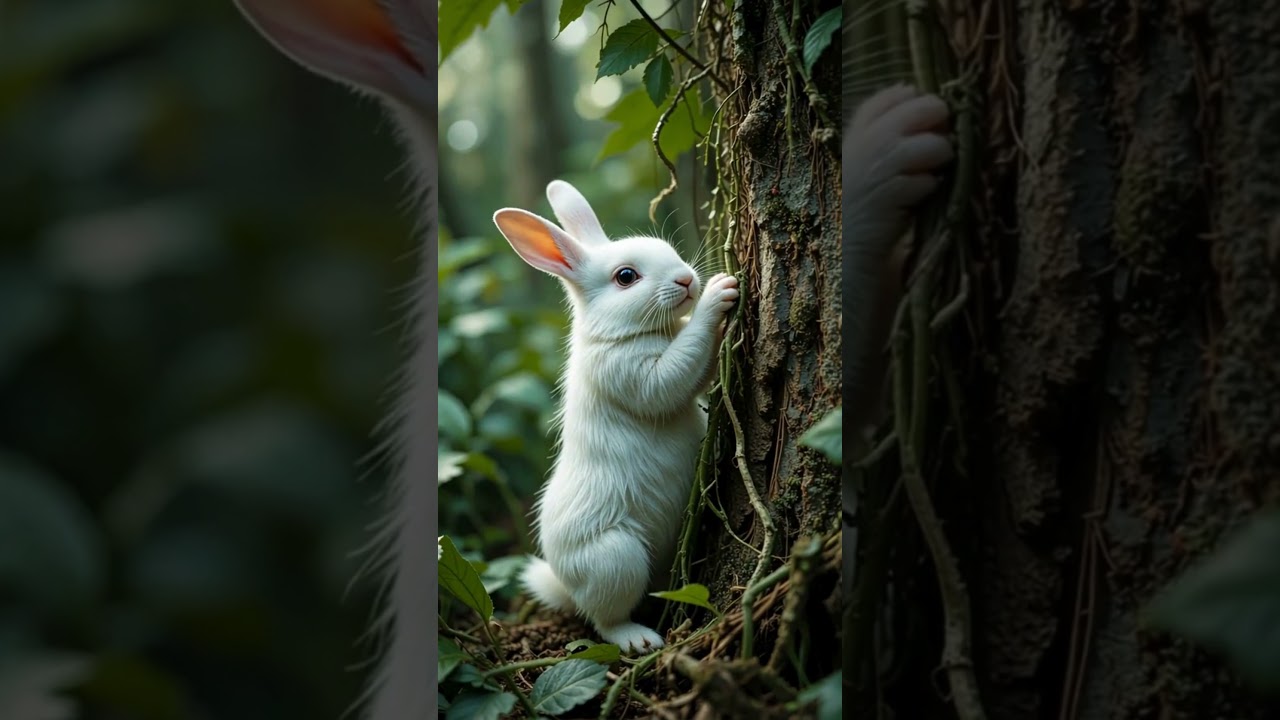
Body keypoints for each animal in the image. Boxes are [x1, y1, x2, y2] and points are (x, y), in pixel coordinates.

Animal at [492, 180, 739, 653]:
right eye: (626, 277)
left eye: (668, 249)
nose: (687, 279)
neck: (627, 333)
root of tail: (566, 584)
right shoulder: (635, 375)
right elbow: (680, 368)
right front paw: (720, 294)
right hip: (616, 559)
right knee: (605, 619)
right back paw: (639, 639)